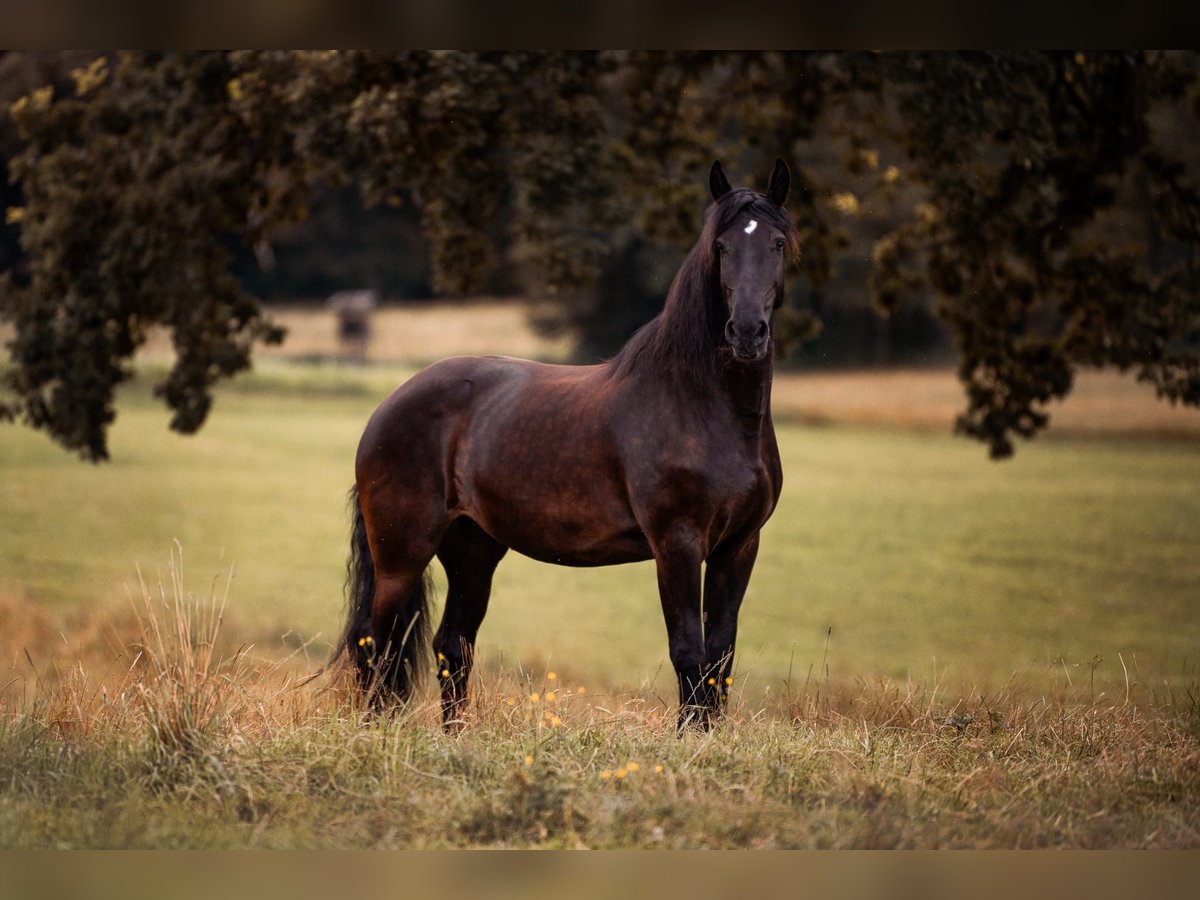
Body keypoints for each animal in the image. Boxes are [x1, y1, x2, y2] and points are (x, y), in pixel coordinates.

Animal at [338, 157, 792, 734]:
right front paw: (688, 741)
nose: (747, 332)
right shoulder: (678, 543)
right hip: (401, 554)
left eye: (778, 242)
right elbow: (689, 650)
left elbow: (721, 655)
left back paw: (453, 739)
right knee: (378, 645)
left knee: (451, 646)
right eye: (722, 245)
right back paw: (375, 733)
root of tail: (387, 408)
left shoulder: (740, 546)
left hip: (472, 550)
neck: (703, 405)